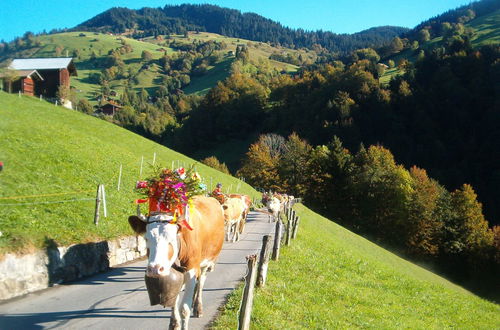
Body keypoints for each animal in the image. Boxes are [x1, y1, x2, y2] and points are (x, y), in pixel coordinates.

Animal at [130, 166, 224, 328]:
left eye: (172, 238)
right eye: (146, 238)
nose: (154, 269)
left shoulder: (192, 268)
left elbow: (184, 309)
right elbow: (174, 300)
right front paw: (174, 323)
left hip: (207, 262)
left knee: (201, 283)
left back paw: (198, 307)